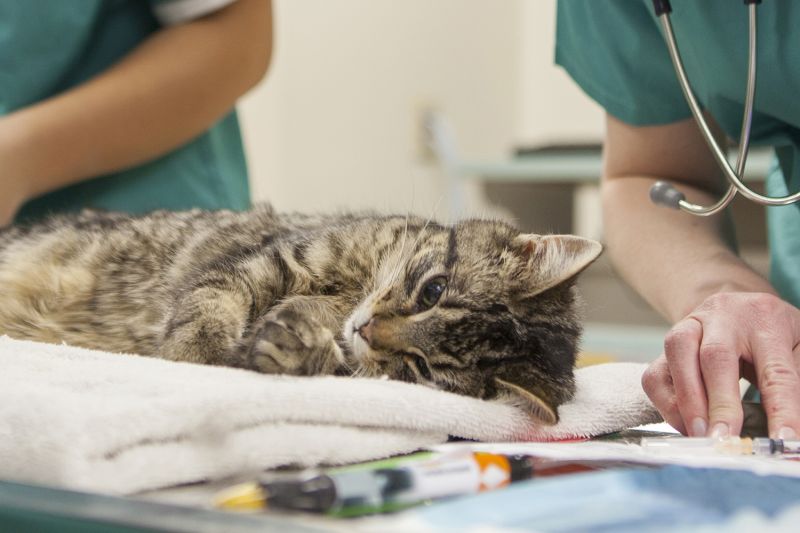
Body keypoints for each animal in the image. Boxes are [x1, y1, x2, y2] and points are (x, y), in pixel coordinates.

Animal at [0, 204, 600, 424]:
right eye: (433, 290)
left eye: (422, 368)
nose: (366, 329)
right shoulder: (268, 263)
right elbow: (209, 308)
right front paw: (197, 356)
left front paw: (293, 344)